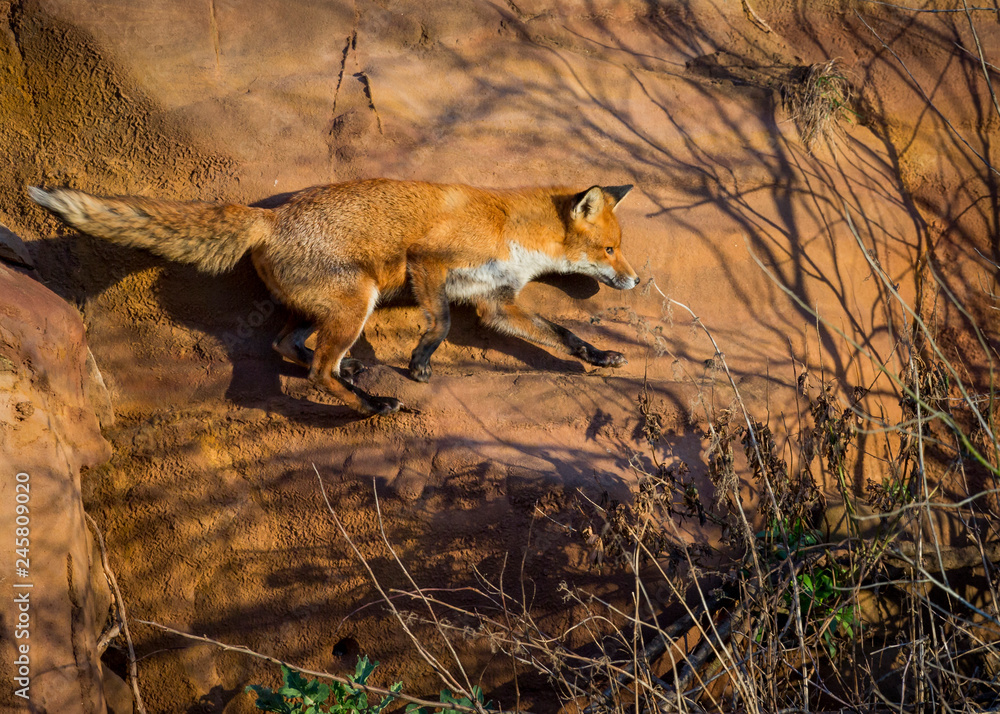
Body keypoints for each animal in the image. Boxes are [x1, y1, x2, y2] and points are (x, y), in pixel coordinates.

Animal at [29, 179, 639, 415]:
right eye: (610, 249)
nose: (636, 281)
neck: (509, 229)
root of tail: (269, 216)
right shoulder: (428, 264)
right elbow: (439, 325)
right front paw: (419, 364)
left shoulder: (496, 302)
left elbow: (562, 333)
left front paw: (599, 356)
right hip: (357, 301)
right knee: (318, 368)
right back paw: (369, 404)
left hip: (327, 308)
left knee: (288, 346)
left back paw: (352, 379)